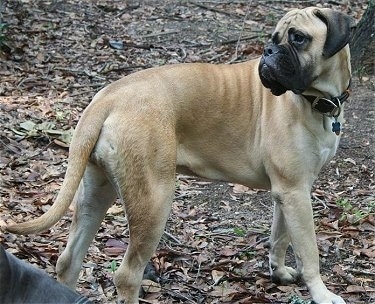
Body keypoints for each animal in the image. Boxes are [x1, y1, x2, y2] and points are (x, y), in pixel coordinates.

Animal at [7, 7, 356, 304]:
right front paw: (322, 294)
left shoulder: (289, 190)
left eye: (297, 38)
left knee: (68, 260)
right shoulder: (295, 192)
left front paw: (280, 272)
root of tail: (107, 98)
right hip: (154, 203)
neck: (318, 102)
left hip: (97, 191)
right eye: (276, 39)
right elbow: (308, 249)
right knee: (127, 274)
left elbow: (281, 236)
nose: (268, 53)